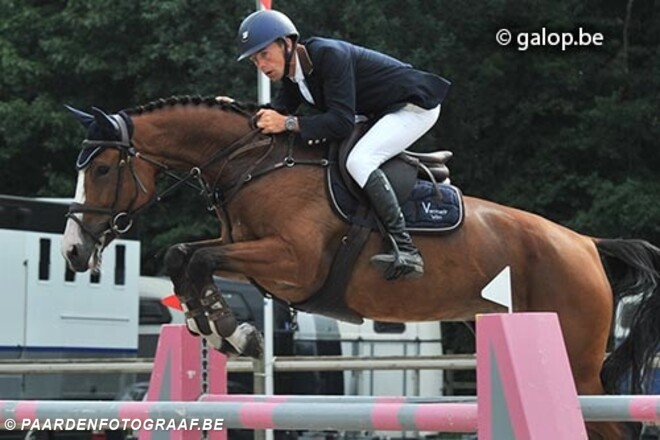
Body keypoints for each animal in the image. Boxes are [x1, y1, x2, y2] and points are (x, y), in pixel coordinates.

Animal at [60, 96, 660, 439]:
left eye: (105, 168)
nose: (72, 251)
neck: (252, 164)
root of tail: (585, 243)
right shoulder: (251, 255)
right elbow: (183, 256)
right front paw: (215, 326)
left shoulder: (292, 261)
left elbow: (197, 256)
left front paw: (231, 330)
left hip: (578, 363)